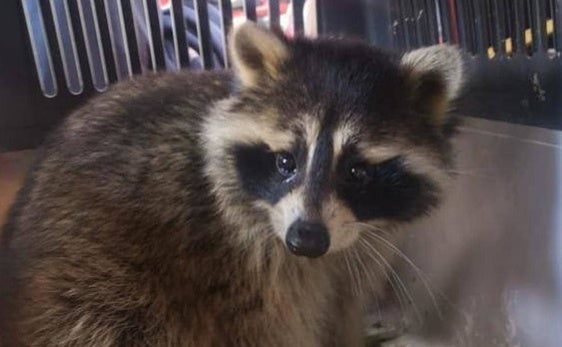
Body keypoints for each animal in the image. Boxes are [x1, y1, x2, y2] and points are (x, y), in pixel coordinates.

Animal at [0, 22, 462, 347]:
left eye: (357, 173)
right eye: (285, 162)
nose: (306, 239)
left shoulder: (357, 254)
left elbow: (342, 310)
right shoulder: (234, 264)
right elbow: (265, 327)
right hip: (91, 281)